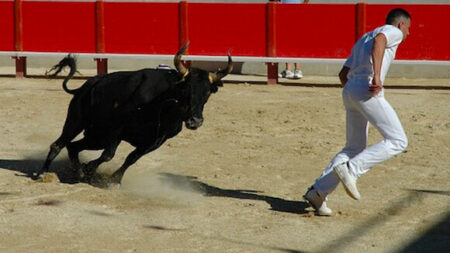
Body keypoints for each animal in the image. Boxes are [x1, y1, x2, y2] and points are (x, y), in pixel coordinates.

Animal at [37, 45, 234, 184]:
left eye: (208, 93)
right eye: (186, 89)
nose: (195, 121)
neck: (163, 104)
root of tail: (86, 86)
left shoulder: (157, 140)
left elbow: (132, 158)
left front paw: (114, 180)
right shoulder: (118, 130)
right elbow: (108, 155)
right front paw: (90, 169)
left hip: (96, 135)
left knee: (73, 146)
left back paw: (78, 172)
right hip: (77, 121)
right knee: (59, 144)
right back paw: (43, 173)